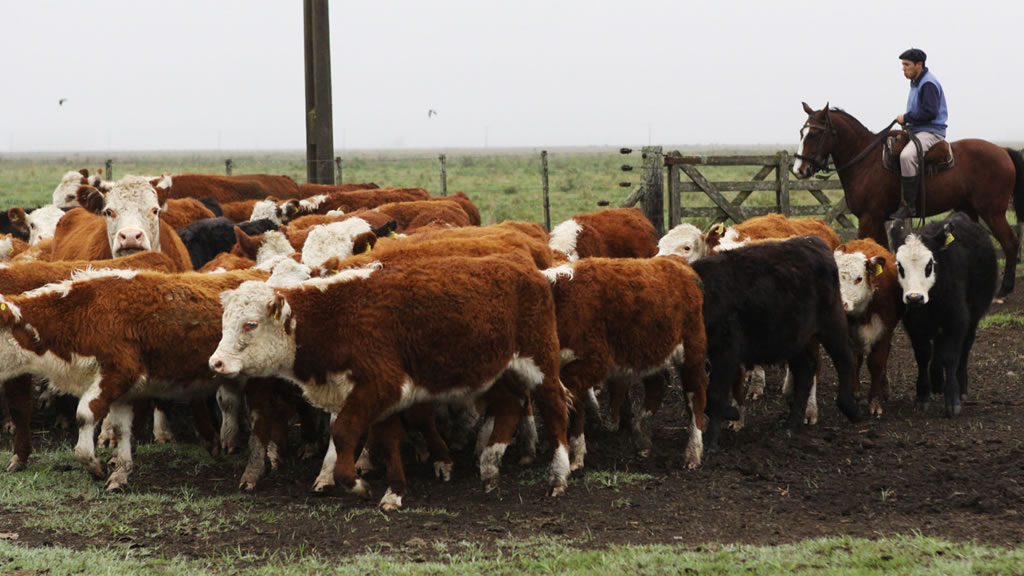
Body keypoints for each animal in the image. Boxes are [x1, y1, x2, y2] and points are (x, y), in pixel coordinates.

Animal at [208, 253, 573, 508]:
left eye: (251, 324)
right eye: (225, 323)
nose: (216, 362)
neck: (336, 317)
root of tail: (532, 270)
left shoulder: (379, 386)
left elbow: (344, 435)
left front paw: (357, 484)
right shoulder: (377, 396)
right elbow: (388, 440)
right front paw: (395, 492)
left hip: (539, 362)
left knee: (555, 409)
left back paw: (558, 476)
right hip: (499, 371)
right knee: (510, 407)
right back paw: (490, 465)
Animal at [684, 235, 860, 446]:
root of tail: (813, 241)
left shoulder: (727, 352)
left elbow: (715, 394)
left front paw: (712, 439)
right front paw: (730, 414)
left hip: (832, 322)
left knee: (845, 358)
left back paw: (850, 408)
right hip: (796, 338)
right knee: (805, 371)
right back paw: (791, 425)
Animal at [790, 103, 1024, 301]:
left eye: (814, 134)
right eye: (801, 133)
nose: (799, 170)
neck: (866, 161)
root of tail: (1003, 151)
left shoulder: (868, 217)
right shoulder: (877, 218)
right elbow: (881, 251)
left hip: (993, 212)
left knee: (1010, 242)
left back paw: (1003, 290)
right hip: (968, 209)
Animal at [831, 238, 905, 416]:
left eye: (859, 279)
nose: (841, 304)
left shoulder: (884, 332)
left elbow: (876, 362)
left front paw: (875, 401)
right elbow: (852, 360)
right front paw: (854, 394)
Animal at [888, 213, 999, 414]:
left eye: (929, 265)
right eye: (899, 266)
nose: (914, 298)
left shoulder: (957, 320)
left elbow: (951, 356)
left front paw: (953, 399)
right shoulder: (913, 323)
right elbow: (923, 355)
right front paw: (923, 395)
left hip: (973, 316)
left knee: (965, 346)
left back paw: (961, 387)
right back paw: (937, 380)